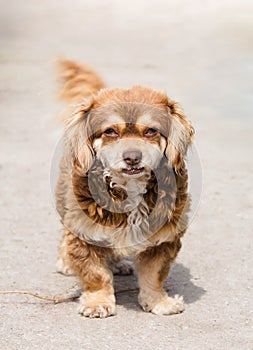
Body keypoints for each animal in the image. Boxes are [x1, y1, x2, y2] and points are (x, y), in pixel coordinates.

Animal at [54, 59, 194, 318]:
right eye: (110, 131)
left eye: (150, 131)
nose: (132, 157)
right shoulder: (84, 231)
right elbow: (95, 274)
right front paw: (97, 302)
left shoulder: (164, 238)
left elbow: (154, 275)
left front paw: (158, 301)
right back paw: (65, 260)